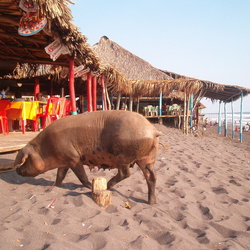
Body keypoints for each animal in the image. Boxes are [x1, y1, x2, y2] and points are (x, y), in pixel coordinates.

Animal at [14, 110, 161, 204]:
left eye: (25, 160)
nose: (16, 171)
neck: (45, 148)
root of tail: (153, 130)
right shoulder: (64, 161)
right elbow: (60, 176)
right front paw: (53, 187)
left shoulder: (73, 158)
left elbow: (82, 177)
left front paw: (91, 187)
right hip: (147, 159)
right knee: (152, 176)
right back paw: (151, 202)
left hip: (124, 157)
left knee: (126, 173)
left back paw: (108, 186)